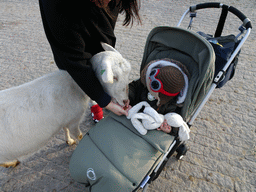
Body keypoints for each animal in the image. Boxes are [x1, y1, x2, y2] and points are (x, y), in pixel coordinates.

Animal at [0, 43, 131, 168]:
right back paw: (10, 163)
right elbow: (79, 135)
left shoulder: (66, 119)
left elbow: (65, 128)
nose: (126, 101)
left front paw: (69, 141)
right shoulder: (74, 119)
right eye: (114, 77)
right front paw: (77, 144)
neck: (77, 85)